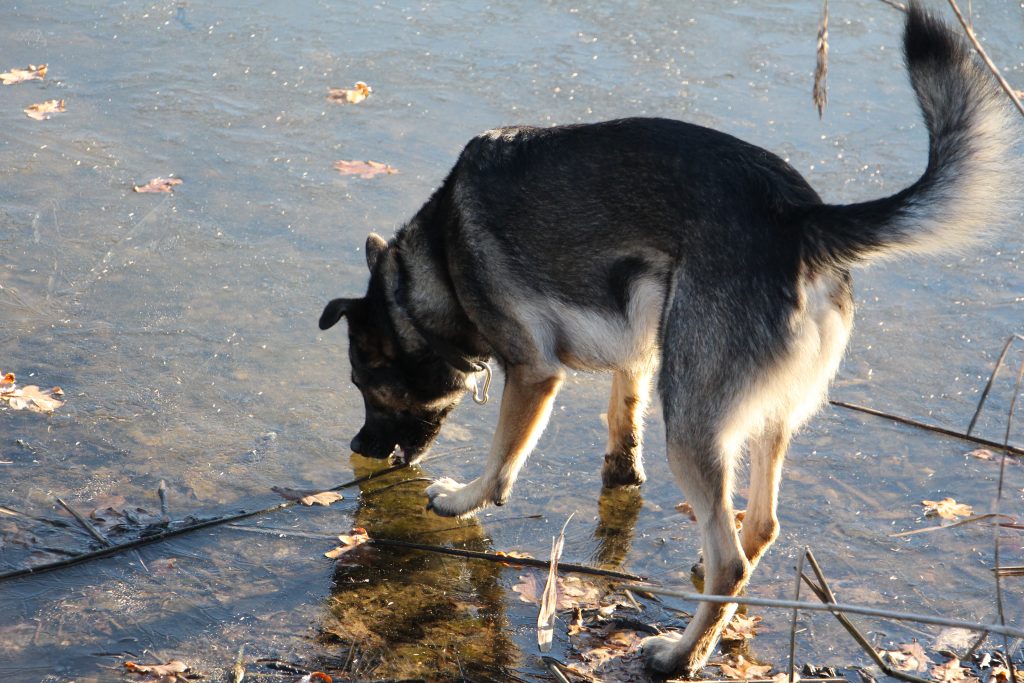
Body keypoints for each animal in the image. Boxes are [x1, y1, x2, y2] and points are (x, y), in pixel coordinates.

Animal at [317, 3, 1015, 679]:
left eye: (364, 385)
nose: (358, 449)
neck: (435, 265)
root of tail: (799, 220)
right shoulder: (637, 346)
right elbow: (622, 419)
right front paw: (621, 472)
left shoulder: (535, 373)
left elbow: (500, 463)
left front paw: (463, 499)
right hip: (765, 418)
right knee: (759, 526)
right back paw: (710, 602)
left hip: (692, 424)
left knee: (733, 556)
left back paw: (680, 656)